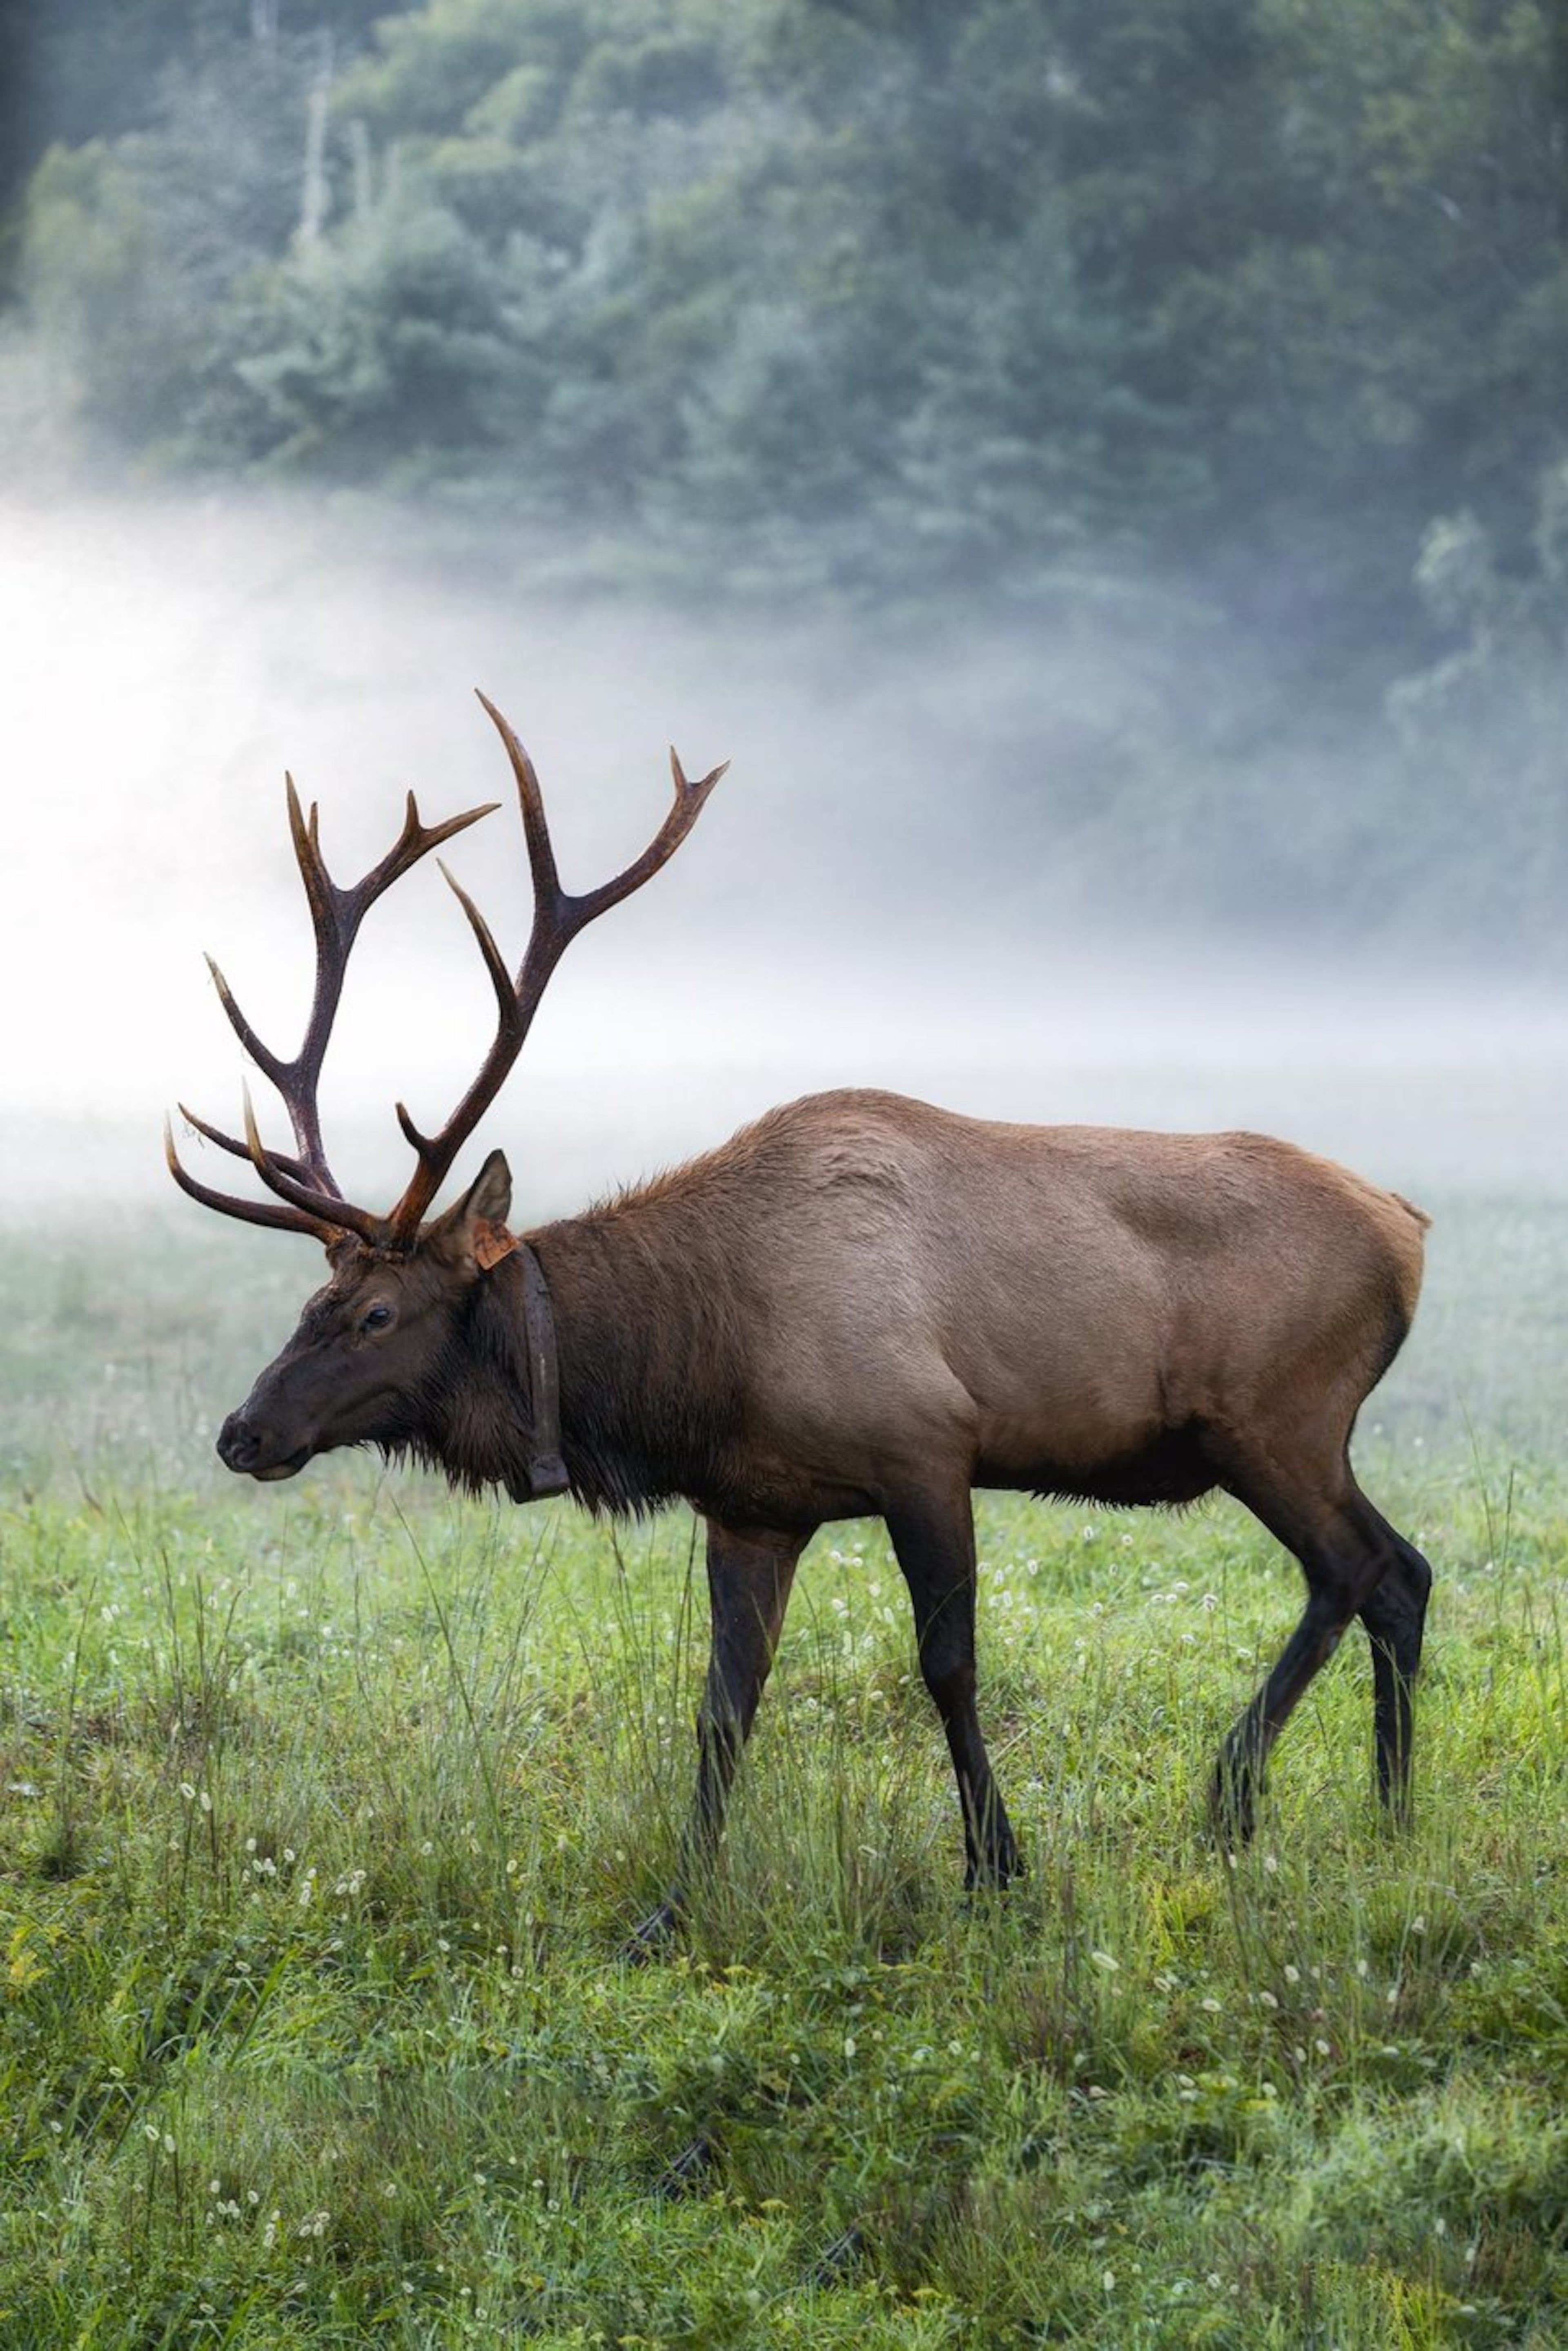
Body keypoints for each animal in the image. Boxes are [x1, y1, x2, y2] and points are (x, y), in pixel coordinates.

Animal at [168, 693, 1433, 1947]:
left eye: (376, 1312)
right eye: (311, 1298)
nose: (240, 1431)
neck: (700, 1364)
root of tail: (1411, 1231)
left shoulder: (926, 1445)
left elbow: (948, 1665)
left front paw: (996, 1869)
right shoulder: (753, 1505)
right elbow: (724, 1707)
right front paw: (673, 1908)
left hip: (1274, 1416)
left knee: (1358, 1567)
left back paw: (1236, 1796)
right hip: (1291, 1433)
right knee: (1400, 1571)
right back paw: (1388, 1816)